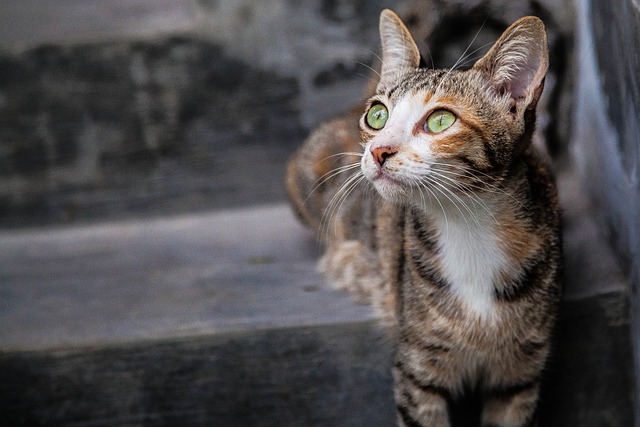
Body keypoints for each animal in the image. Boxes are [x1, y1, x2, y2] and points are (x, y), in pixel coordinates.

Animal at [284, 9, 560, 427]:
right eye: (377, 115)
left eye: (441, 121)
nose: (379, 150)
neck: (468, 227)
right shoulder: (417, 366)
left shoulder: (521, 372)